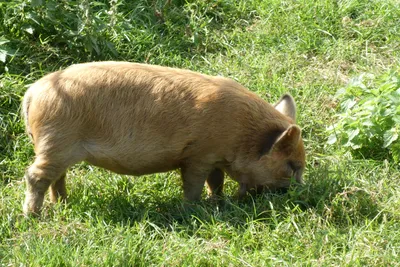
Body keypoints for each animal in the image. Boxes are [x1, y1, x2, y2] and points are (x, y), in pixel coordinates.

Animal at [20, 60, 304, 216]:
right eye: (292, 166)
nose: (300, 192)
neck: (243, 134)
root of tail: (33, 92)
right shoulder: (198, 155)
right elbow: (195, 184)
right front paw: (191, 208)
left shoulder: (214, 157)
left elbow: (216, 181)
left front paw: (218, 202)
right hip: (56, 141)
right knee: (35, 176)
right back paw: (33, 216)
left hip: (58, 148)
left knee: (57, 177)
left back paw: (63, 204)